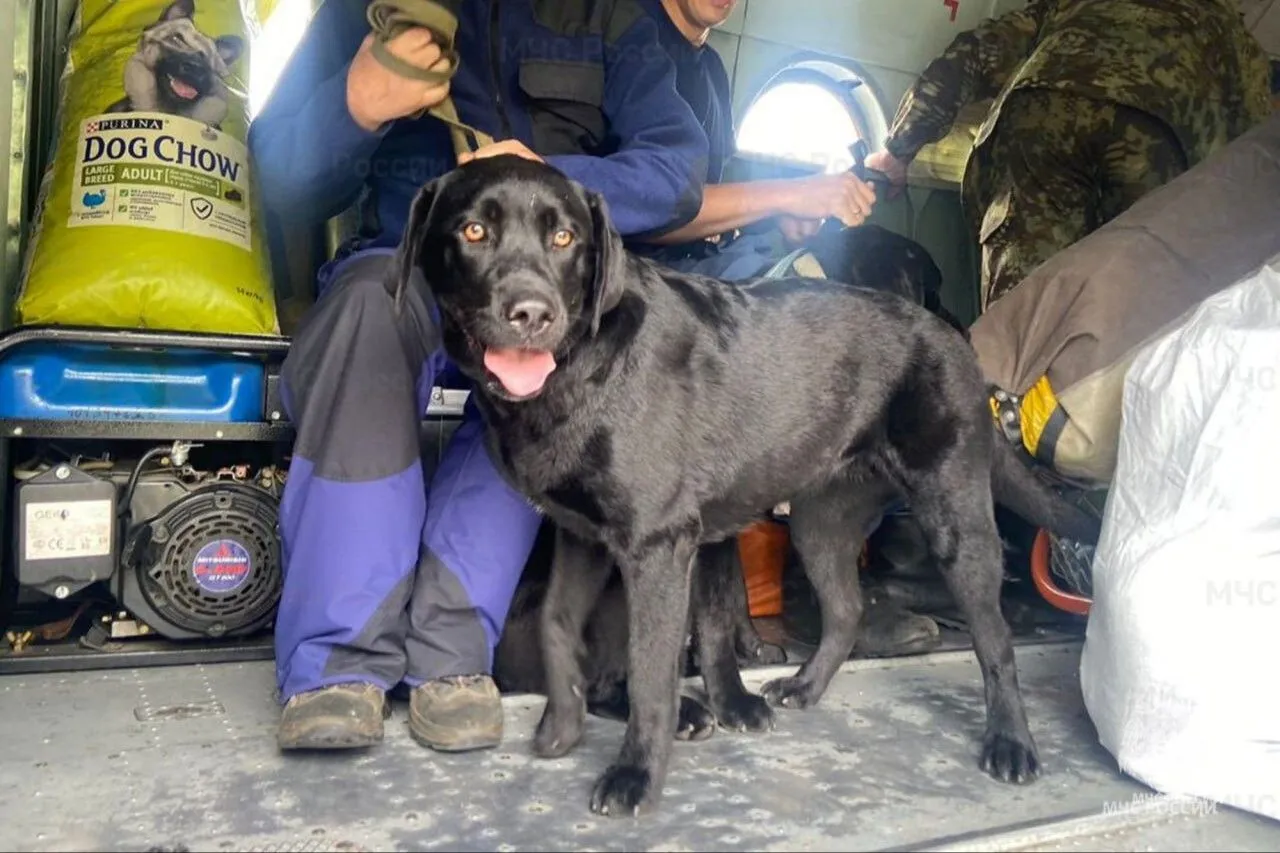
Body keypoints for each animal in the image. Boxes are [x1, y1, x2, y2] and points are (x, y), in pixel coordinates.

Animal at [399, 154, 1100, 819]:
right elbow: (558, 625)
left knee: (995, 638)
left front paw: (636, 776)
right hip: (820, 525)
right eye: (474, 231)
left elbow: (654, 670)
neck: (582, 362)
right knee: (845, 611)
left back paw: (1010, 744)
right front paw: (561, 729)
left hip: (954, 517)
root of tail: (954, 345)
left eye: (565, 237)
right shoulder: (584, 537)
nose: (531, 314)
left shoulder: (658, 546)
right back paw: (805, 687)